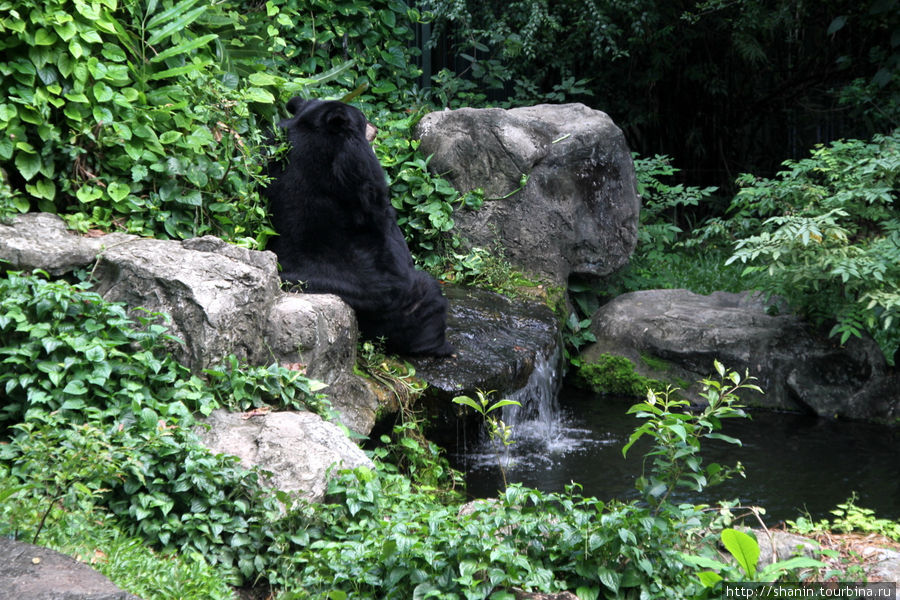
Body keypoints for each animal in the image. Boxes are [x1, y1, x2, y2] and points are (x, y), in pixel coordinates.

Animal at [264, 95, 454, 354]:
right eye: (363, 118)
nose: (376, 128)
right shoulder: (356, 159)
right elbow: (378, 207)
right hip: (387, 294)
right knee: (427, 299)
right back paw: (439, 345)